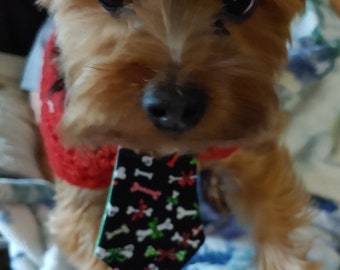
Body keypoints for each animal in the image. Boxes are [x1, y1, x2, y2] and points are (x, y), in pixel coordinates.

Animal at [35, 0, 320, 270]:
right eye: (112, 1)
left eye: (240, 4)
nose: (175, 105)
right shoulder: (80, 194)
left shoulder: (247, 145)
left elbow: (274, 214)